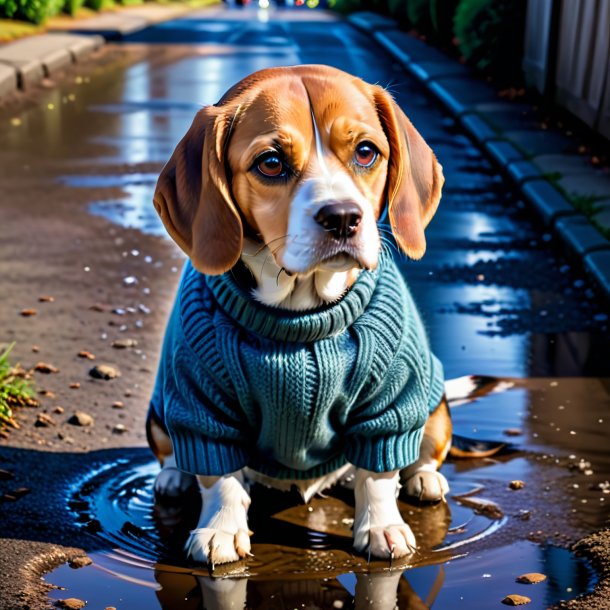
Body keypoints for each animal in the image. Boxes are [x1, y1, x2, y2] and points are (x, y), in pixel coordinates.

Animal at [146, 65, 452, 564]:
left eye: (366, 152)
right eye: (271, 162)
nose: (343, 217)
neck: (301, 312)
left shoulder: (389, 404)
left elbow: (378, 476)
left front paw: (382, 526)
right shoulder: (200, 407)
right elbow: (220, 479)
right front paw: (220, 529)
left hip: (434, 402)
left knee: (420, 452)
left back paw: (424, 477)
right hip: (159, 408)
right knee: (173, 451)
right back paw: (174, 476)